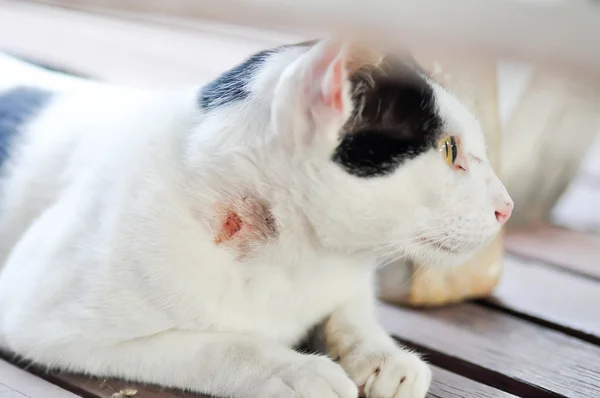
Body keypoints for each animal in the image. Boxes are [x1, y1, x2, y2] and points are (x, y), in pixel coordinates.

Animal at [0, 38, 512, 398]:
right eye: (450, 151)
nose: (505, 207)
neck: (299, 257)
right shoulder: (32, 315)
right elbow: (218, 343)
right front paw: (296, 370)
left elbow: (352, 308)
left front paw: (384, 356)